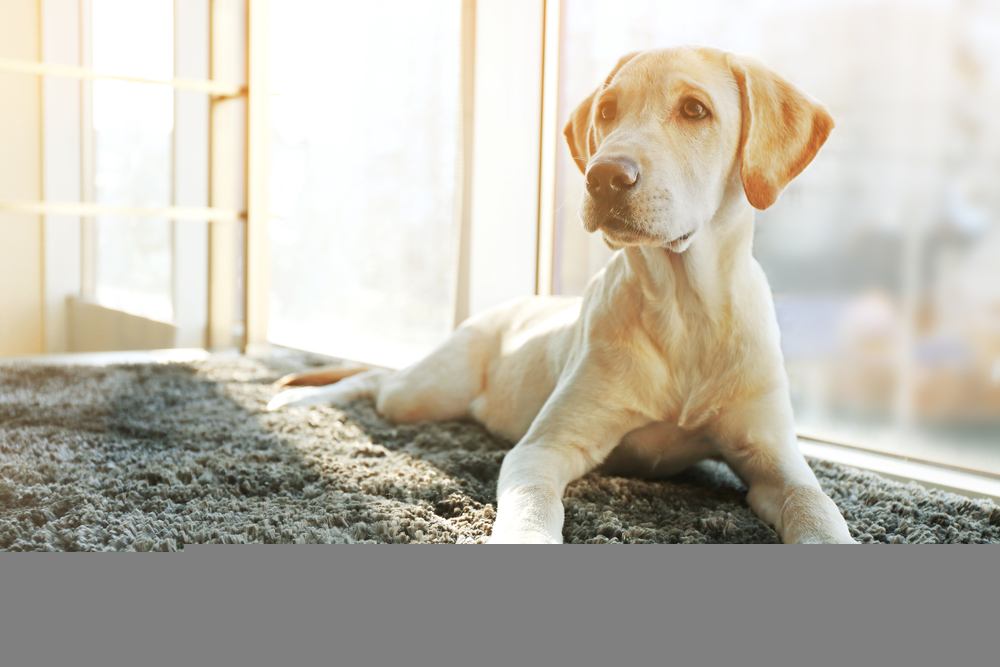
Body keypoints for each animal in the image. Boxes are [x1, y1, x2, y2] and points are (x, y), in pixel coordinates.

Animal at [270, 49, 856, 544]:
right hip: (426, 392)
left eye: (695, 109)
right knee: (376, 380)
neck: (684, 309)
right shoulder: (544, 448)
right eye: (608, 111)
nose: (605, 176)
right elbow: (533, 501)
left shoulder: (776, 459)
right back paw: (299, 400)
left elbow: (816, 506)